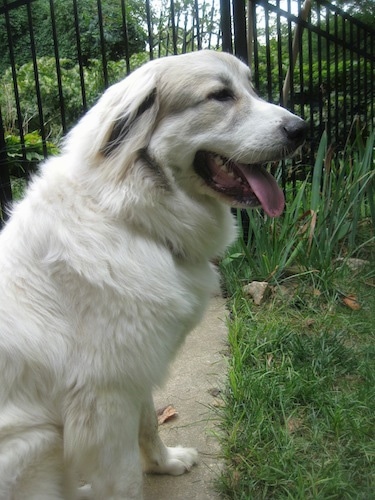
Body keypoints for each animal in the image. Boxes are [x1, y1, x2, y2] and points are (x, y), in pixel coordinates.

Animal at [0, 49, 308, 496]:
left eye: (250, 88)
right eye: (220, 96)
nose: (303, 129)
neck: (129, 218)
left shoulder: (136, 370)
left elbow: (149, 425)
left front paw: (166, 464)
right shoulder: (106, 403)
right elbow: (125, 478)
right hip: (37, 442)